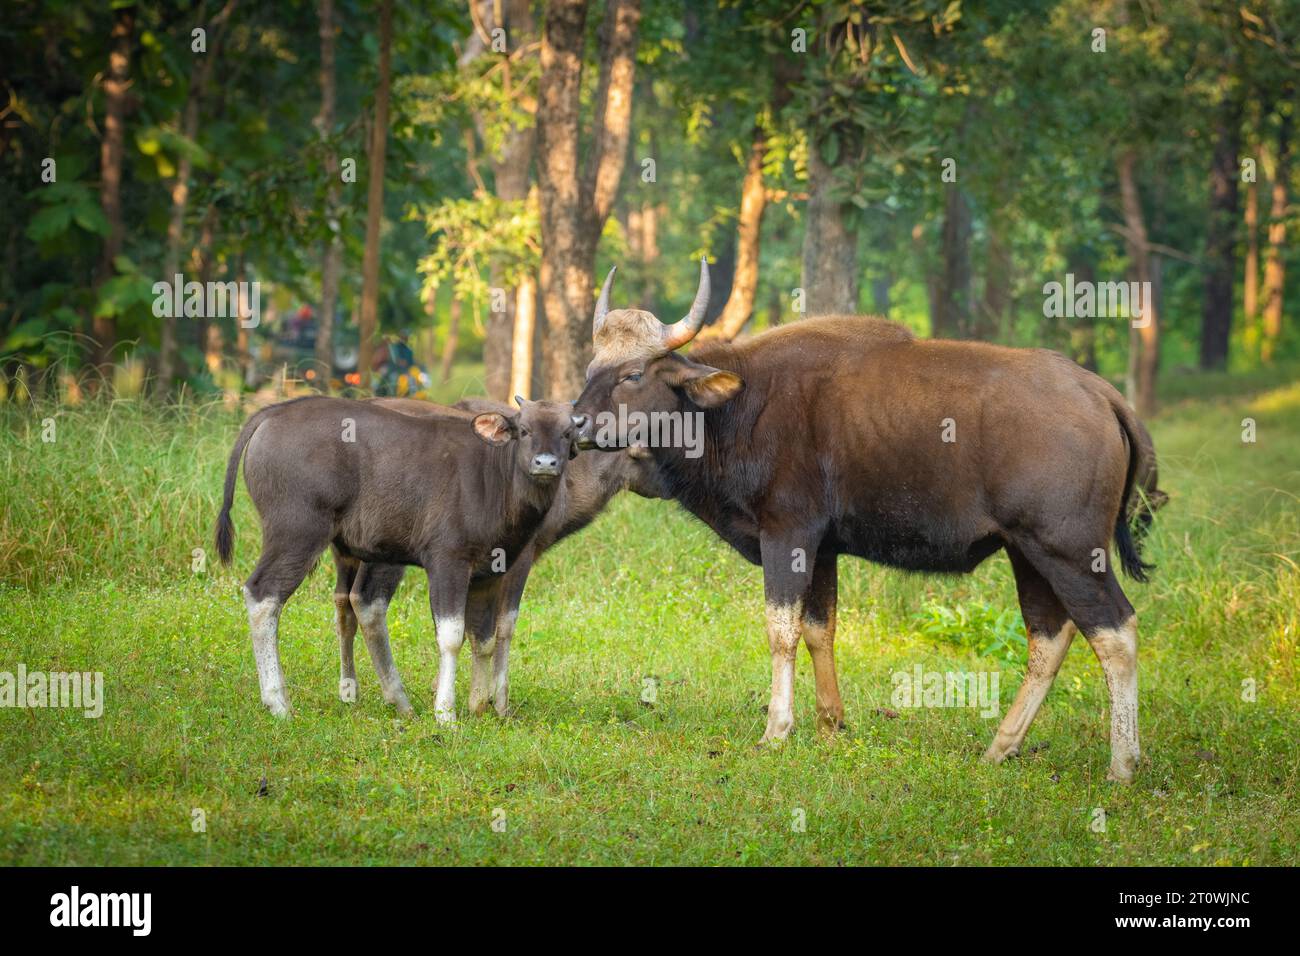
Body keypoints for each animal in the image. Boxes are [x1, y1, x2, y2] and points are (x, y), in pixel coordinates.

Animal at [217, 392, 585, 723]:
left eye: (568, 432)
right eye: (524, 429)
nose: (545, 463)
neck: (495, 482)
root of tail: (273, 413)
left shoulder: (489, 574)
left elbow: (484, 639)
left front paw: (479, 707)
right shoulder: (447, 561)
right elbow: (451, 637)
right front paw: (445, 713)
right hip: (296, 532)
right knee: (262, 595)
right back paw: (278, 703)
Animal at [574, 257, 1164, 780]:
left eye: (632, 374)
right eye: (590, 370)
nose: (576, 422)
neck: (739, 408)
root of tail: (1099, 393)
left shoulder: (787, 533)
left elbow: (781, 631)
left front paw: (777, 729)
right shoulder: (822, 548)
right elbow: (820, 629)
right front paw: (831, 724)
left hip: (1069, 550)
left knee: (1115, 632)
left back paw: (1122, 764)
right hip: (1028, 551)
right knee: (1049, 635)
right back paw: (1002, 746)